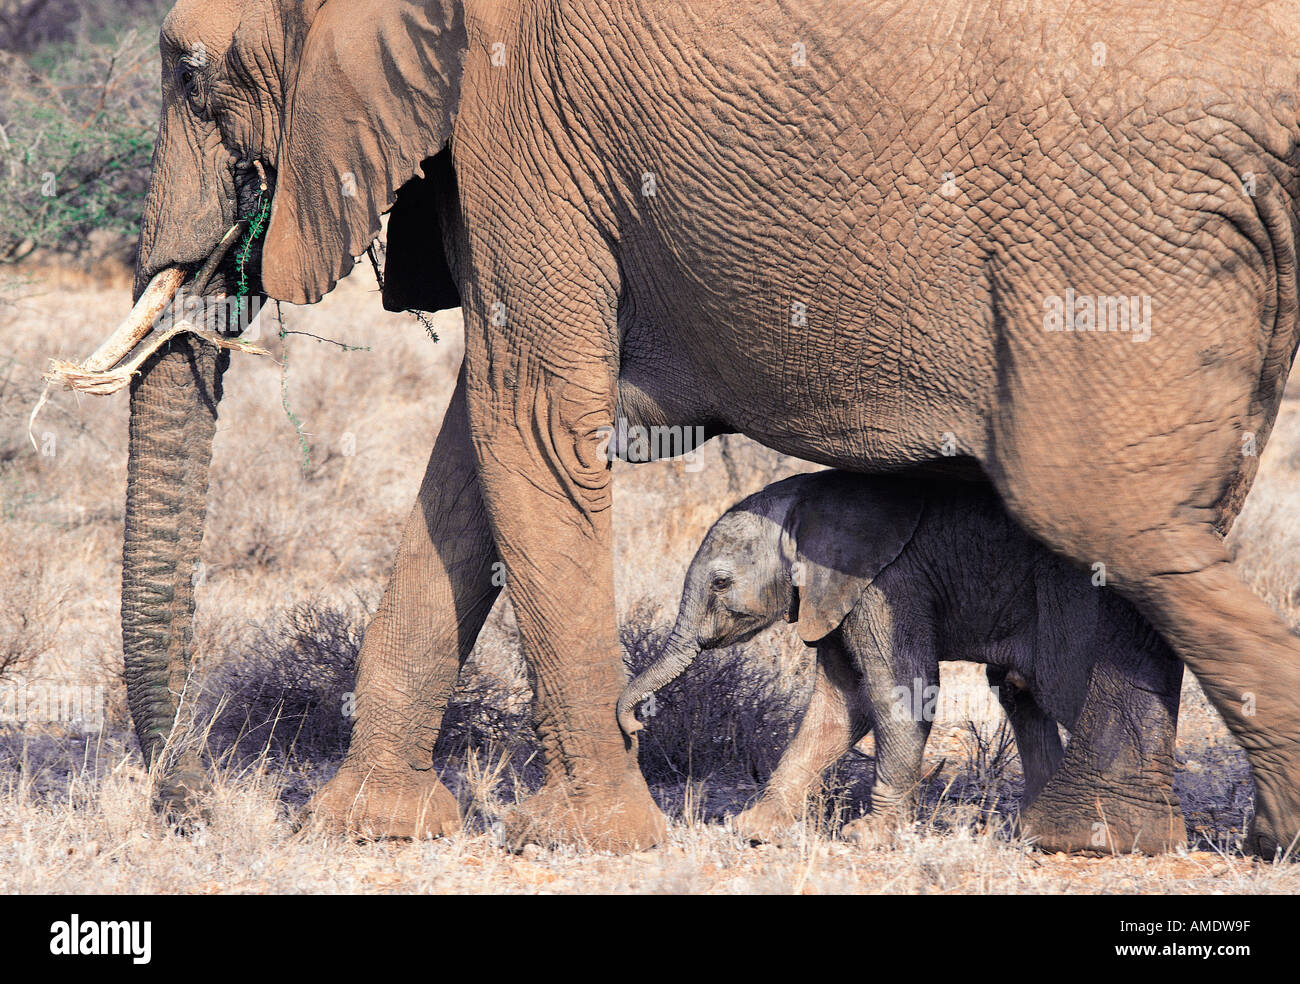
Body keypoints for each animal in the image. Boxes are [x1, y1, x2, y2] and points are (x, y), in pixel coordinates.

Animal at [617, 470, 1187, 853]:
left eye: (720, 583)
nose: (633, 729)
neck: (808, 505)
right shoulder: (834, 595)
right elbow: (839, 706)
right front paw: (754, 829)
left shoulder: (887, 584)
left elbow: (905, 688)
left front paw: (868, 836)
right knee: (1017, 691)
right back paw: (1031, 828)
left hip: (1075, 609)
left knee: (1063, 691)